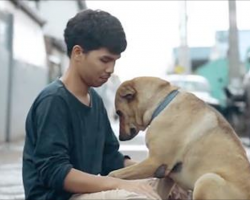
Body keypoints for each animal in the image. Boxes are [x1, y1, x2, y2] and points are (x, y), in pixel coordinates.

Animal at [109, 76, 250, 200]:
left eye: (119, 113)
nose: (120, 137)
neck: (161, 104)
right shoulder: (167, 176)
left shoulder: (154, 163)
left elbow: (114, 174)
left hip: (206, 180)